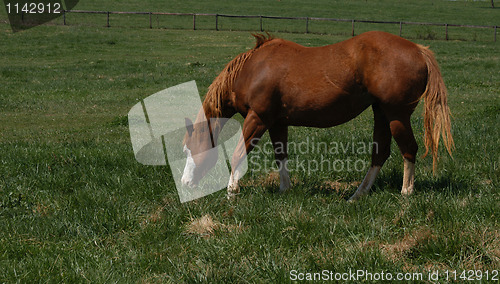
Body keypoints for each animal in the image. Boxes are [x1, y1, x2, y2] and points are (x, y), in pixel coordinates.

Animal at [183, 31, 454, 201]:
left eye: (189, 150)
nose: (185, 184)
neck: (253, 68)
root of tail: (418, 50)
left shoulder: (257, 118)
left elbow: (239, 153)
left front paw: (231, 191)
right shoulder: (277, 123)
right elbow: (281, 156)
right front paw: (285, 189)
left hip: (397, 115)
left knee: (409, 149)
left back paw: (406, 193)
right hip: (382, 113)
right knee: (380, 153)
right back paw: (357, 195)